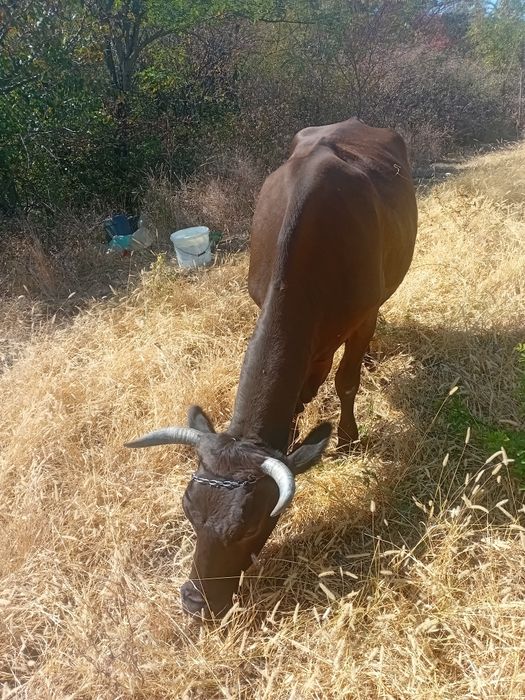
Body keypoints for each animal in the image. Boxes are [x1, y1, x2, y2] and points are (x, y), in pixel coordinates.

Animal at [126, 118, 417, 619]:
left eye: (250, 526)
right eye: (188, 511)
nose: (195, 603)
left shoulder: (363, 317)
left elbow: (346, 381)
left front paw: (348, 438)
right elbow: (301, 394)